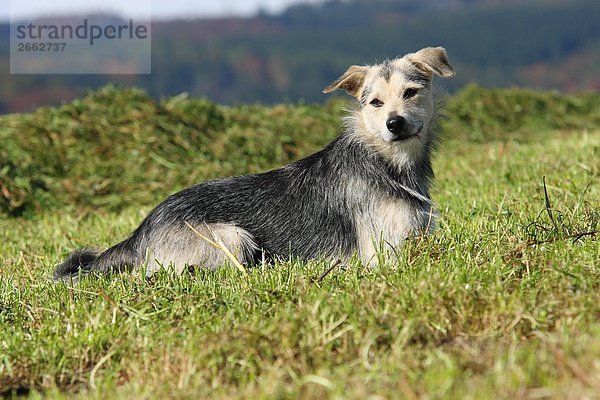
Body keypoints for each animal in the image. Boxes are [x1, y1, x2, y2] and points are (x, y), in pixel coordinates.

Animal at [54, 47, 454, 280]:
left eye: (411, 93)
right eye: (374, 103)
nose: (394, 123)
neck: (385, 161)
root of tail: (140, 232)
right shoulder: (385, 254)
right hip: (232, 237)